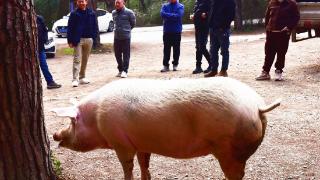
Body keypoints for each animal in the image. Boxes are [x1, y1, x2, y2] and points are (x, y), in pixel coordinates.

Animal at [52, 77, 280, 180]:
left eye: (72, 122)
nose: (55, 134)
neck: (96, 118)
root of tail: (257, 106)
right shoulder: (142, 144)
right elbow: (144, 164)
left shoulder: (121, 144)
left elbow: (127, 167)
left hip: (229, 150)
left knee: (237, 174)